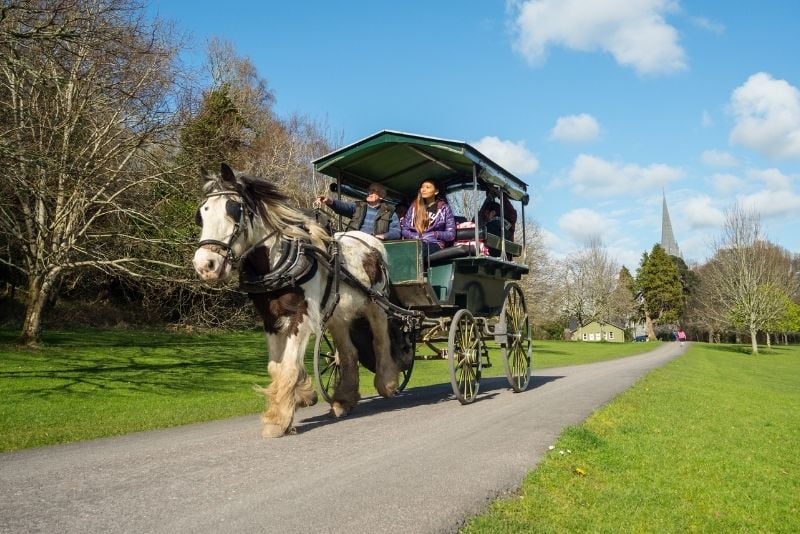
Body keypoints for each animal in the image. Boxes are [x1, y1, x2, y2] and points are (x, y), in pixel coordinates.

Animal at [191, 164, 404, 440]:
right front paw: (302, 395)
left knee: (380, 340)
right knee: (348, 353)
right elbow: (276, 366)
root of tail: (372, 242)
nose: (205, 265)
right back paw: (343, 400)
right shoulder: (270, 319)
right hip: (337, 315)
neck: (279, 260)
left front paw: (278, 420)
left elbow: (289, 366)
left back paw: (387, 382)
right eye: (202, 214)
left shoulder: (300, 315)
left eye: (233, 209)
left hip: (376, 304)